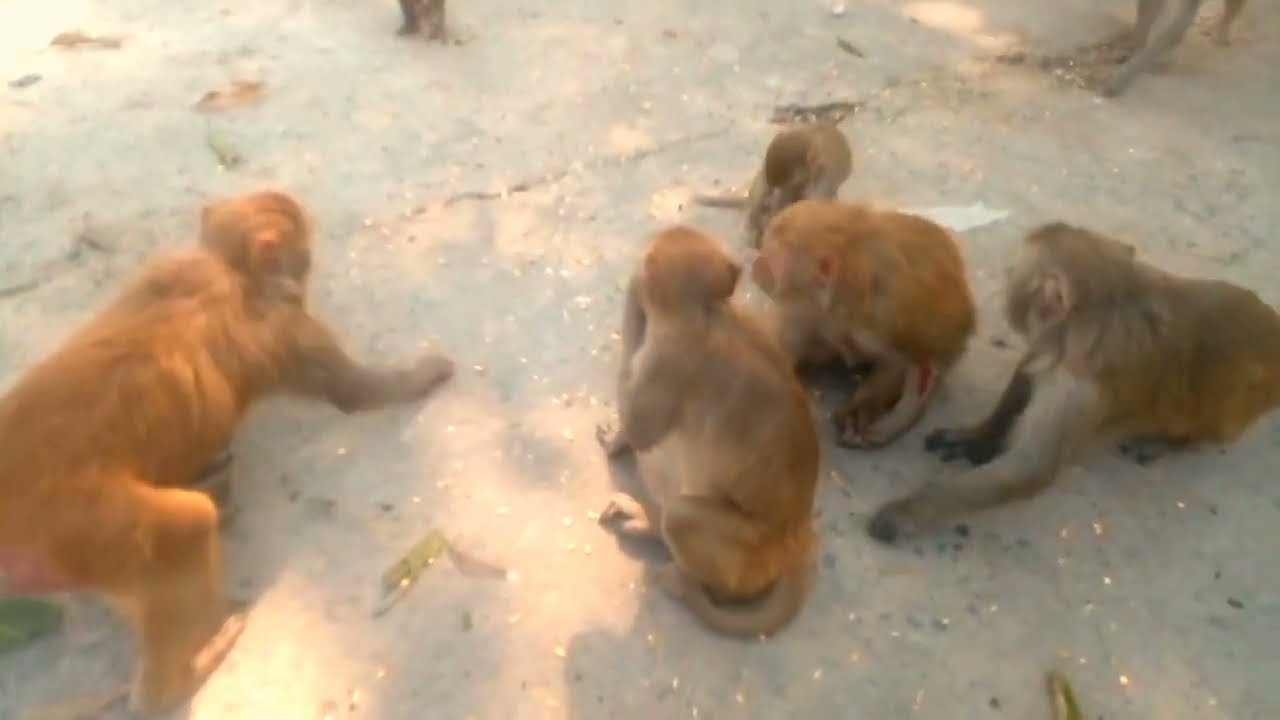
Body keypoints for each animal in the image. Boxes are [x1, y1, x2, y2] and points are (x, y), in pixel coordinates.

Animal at [0, 189, 454, 716]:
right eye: (305, 255)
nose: (305, 274)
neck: (230, 270)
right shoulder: (287, 328)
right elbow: (354, 394)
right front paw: (423, 375)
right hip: (87, 534)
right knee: (185, 529)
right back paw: (190, 666)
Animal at [594, 225, 821, 638]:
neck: (705, 314)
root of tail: (798, 543)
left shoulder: (667, 357)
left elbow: (641, 427)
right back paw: (648, 521)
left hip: (747, 556)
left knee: (682, 514)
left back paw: (684, 582)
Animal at [749, 199, 977, 450]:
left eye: (772, 259)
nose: (757, 263)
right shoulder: (807, 309)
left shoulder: (886, 313)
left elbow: (895, 361)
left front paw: (862, 411)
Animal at [868, 221, 1280, 543]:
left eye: (1014, 272)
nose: (1005, 279)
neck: (1105, 307)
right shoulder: (1055, 346)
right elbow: (1029, 373)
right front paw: (979, 436)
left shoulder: (1079, 388)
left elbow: (1030, 467)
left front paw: (908, 512)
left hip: (1238, 403)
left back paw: (1171, 443)